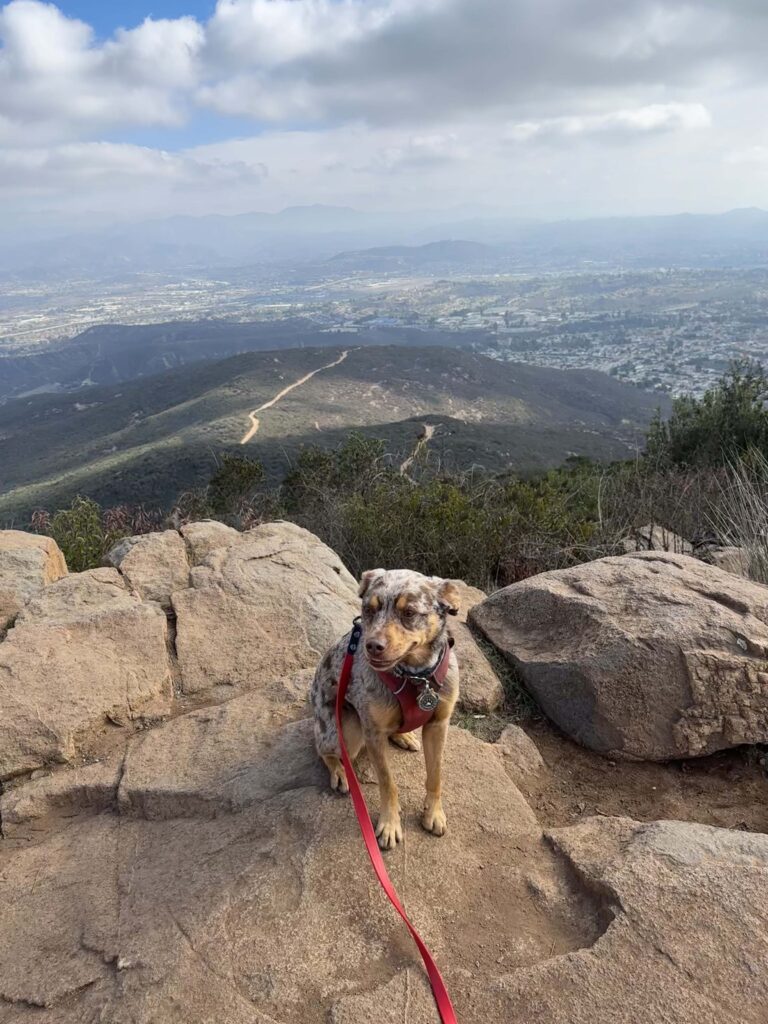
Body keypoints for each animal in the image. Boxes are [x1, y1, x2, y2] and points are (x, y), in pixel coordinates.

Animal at [311, 569, 460, 847]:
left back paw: (404, 736)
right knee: (324, 750)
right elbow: (388, 783)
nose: (372, 646)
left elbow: (435, 775)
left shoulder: (438, 725)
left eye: (409, 612)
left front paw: (434, 814)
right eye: (369, 610)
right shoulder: (374, 734)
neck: (415, 677)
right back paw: (340, 772)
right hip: (346, 731)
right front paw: (390, 824)